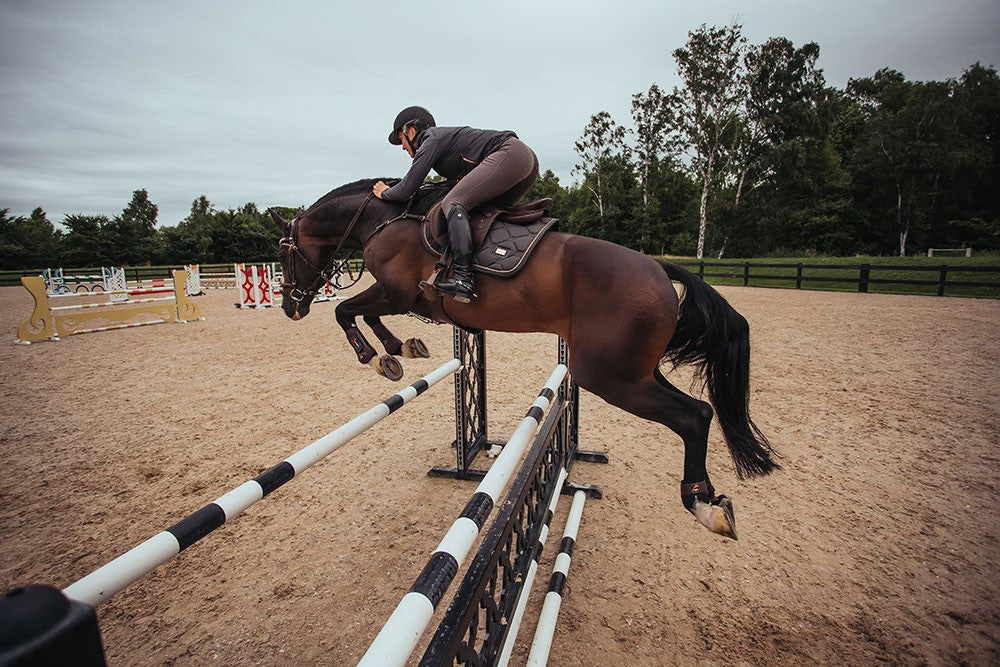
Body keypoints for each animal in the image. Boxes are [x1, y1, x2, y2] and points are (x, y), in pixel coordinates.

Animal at [270, 176, 776, 536]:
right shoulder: (399, 297)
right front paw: (399, 350)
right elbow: (365, 313)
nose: (291, 308)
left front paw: (374, 356)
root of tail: (657, 267)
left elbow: (345, 310)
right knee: (702, 412)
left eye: (284, 253)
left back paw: (701, 504)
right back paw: (712, 501)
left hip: (611, 377)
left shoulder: (396, 291)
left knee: (693, 416)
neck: (382, 217)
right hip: (635, 371)